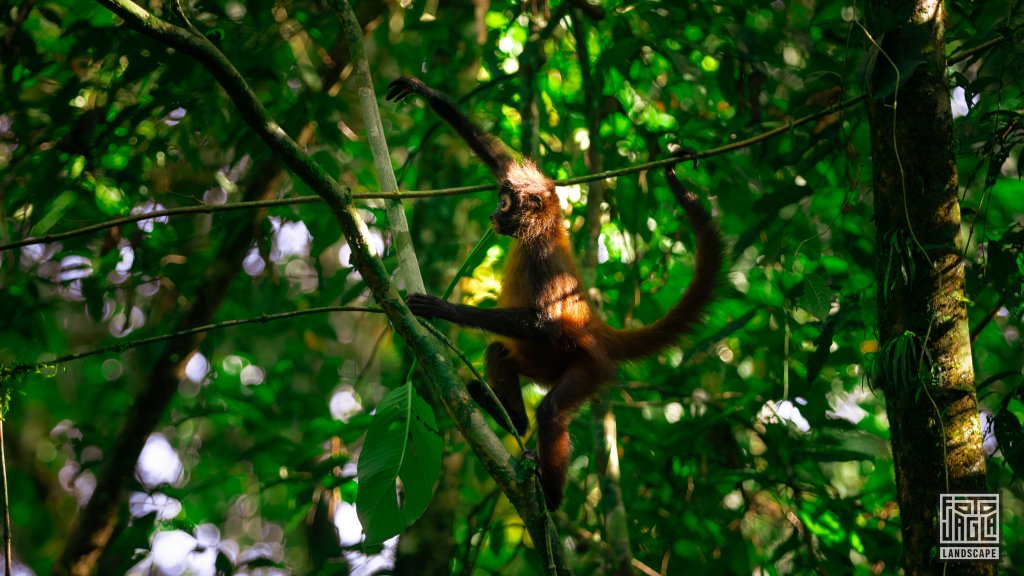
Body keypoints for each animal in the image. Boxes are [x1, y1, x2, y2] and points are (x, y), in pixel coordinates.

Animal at [386, 76, 724, 510]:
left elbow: (544, 320)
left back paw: (550, 495)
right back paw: (511, 418)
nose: (493, 215)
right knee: (499, 352)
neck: (540, 229)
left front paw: (441, 308)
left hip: (588, 367)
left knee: (550, 412)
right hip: (543, 362)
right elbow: (499, 158)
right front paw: (425, 91)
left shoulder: (544, 255)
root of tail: (597, 330)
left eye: (503, 203)